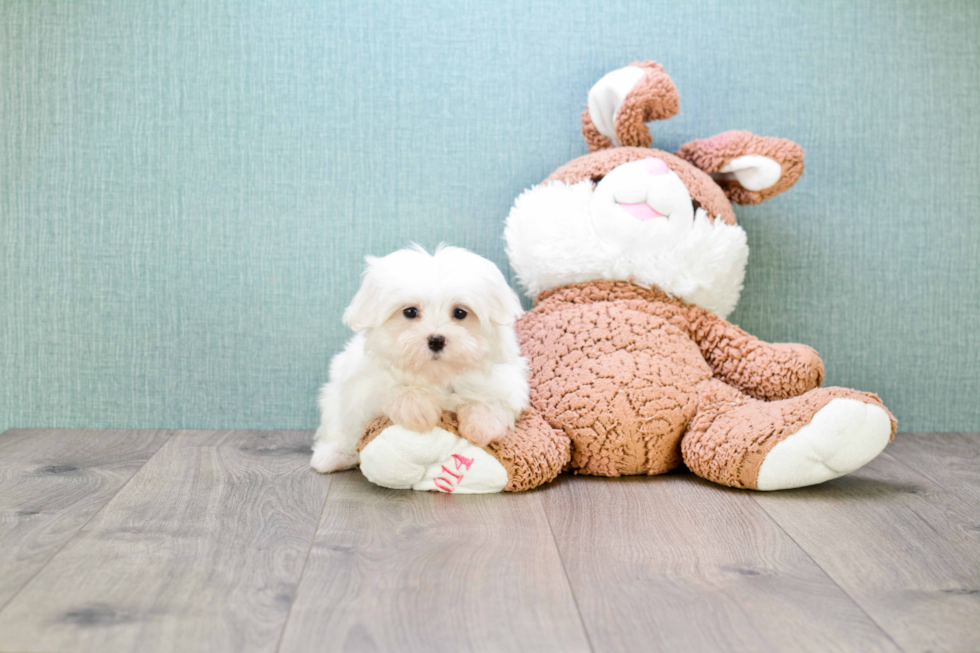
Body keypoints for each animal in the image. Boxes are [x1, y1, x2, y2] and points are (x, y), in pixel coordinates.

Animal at [312, 244, 528, 474]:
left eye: (460, 313)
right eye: (410, 312)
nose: (436, 340)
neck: (436, 373)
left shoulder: (506, 381)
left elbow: (494, 401)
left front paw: (481, 425)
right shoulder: (362, 387)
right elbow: (390, 388)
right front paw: (417, 409)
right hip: (332, 402)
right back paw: (333, 455)